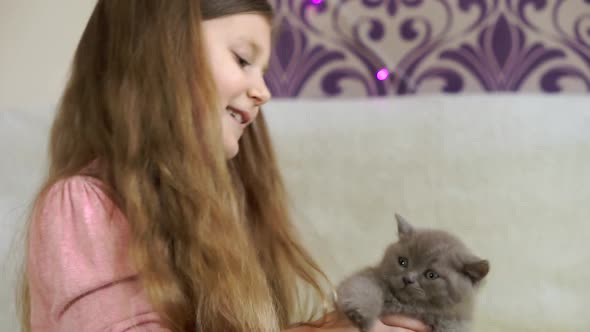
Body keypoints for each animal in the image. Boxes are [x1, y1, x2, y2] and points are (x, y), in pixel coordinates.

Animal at [336, 214, 492, 330]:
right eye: (403, 262)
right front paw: (362, 313)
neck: (408, 308)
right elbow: (364, 287)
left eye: (431, 275)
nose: (407, 279)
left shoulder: (457, 318)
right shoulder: (369, 275)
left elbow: (452, 325)